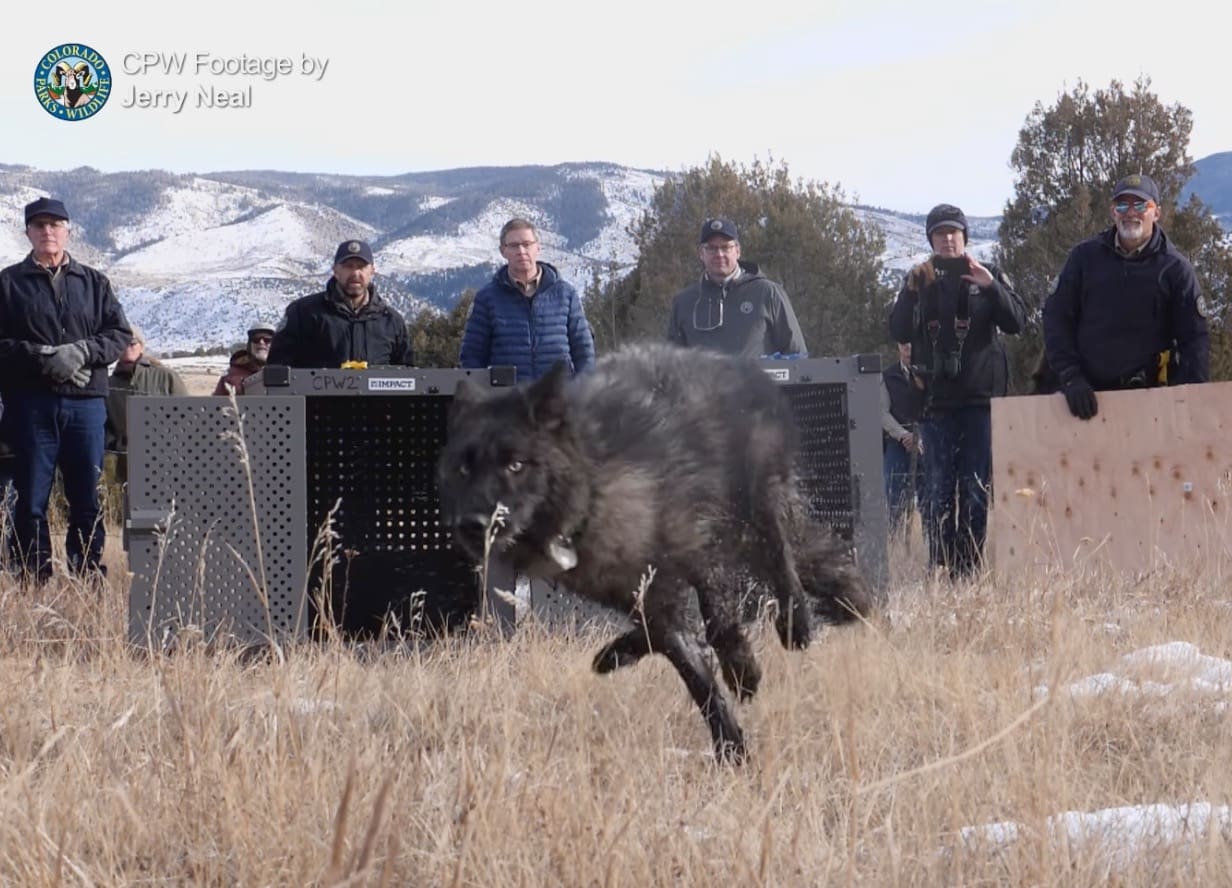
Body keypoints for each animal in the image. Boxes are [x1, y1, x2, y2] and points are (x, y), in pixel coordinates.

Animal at [438, 342, 872, 758]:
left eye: (515, 465)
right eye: (463, 469)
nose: (472, 524)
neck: (594, 488)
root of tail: (734, 363)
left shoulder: (703, 555)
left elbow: (719, 625)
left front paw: (742, 673)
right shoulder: (646, 593)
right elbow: (690, 669)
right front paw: (731, 747)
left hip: (756, 507)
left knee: (782, 557)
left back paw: (796, 624)